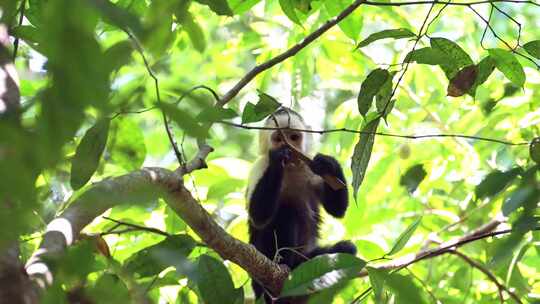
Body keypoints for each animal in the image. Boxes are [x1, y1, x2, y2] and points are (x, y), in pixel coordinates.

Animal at [246, 108, 356, 302]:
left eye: (294, 137)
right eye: (279, 139)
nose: (290, 148)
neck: (290, 169)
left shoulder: (309, 168)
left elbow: (337, 209)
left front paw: (329, 163)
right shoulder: (260, 167)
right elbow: (258, 217)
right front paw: (278, 158)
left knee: (347, 250)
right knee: (287, 213)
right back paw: (285, 268)